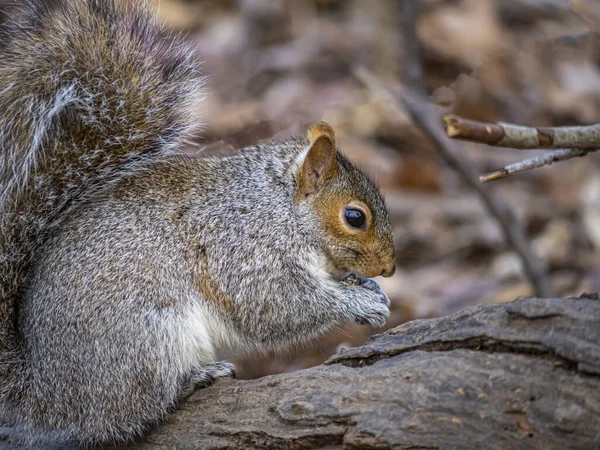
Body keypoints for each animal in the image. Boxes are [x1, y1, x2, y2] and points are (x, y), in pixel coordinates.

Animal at [1, 0, 398, 446]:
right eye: (355, 216)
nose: (390, 268)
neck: (278, 208)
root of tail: (46, 396)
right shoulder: (243, 247)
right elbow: (278, 306)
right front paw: (358, 302)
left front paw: (371, 290)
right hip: (145, 340)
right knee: (128, 413)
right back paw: (194, 378)